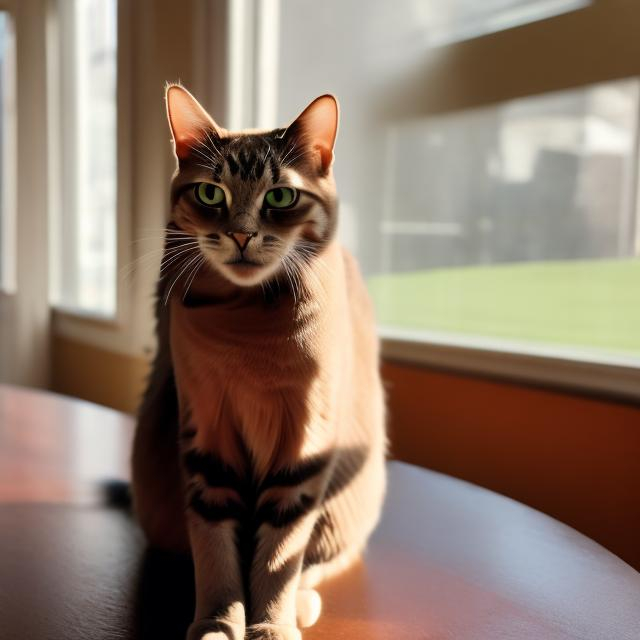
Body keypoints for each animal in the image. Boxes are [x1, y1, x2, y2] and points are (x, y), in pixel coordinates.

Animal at [131, 85, 384, 640]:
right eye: (211, 194)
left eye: (280, 197)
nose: (242, 235)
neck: (246, 330)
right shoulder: (206, 438)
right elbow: (214, 550)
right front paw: (216, 624)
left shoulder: (305, 448)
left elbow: (279, 556)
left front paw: (270, 625)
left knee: (317, 561)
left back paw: (302, 605)